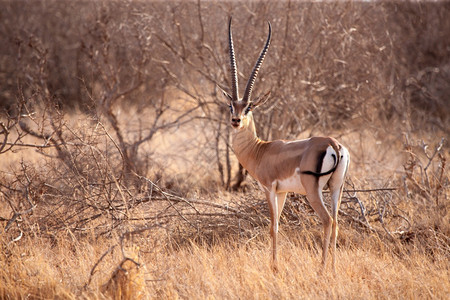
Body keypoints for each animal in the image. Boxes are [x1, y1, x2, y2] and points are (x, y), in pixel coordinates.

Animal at [220, 18, 350, 272]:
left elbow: (273, 227)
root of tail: (334, 145)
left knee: (327, 220)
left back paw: (321, 270)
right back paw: (333, 268)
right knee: (337, 221)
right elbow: (278, 225)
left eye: (249, 107)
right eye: (231, 106)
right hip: (336, 188)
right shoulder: (283, 192)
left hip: (313, 191)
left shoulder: (269, 188)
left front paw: (274, 267)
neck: (260, 150)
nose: (235, 120)